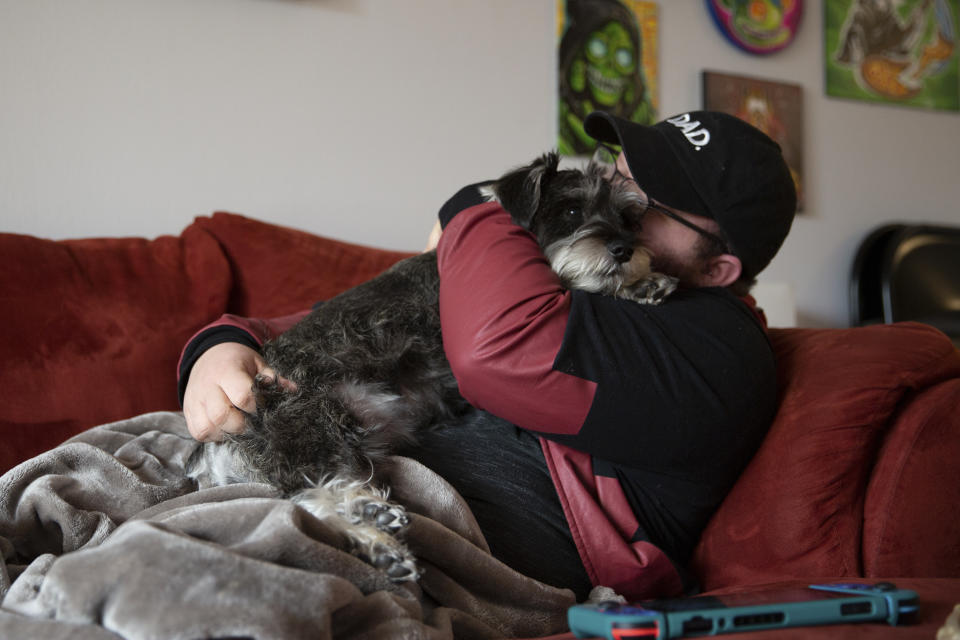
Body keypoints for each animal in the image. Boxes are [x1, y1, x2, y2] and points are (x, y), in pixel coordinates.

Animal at [188, 150, 680, 580]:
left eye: (628, 218)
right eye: (573, 210)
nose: (624, 250)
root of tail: (214, 455)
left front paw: (645, 281)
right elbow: (576, 288)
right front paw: (644, 283)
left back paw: (373, 519)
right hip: (315, 422)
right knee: (306, 496)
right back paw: (377, 540)